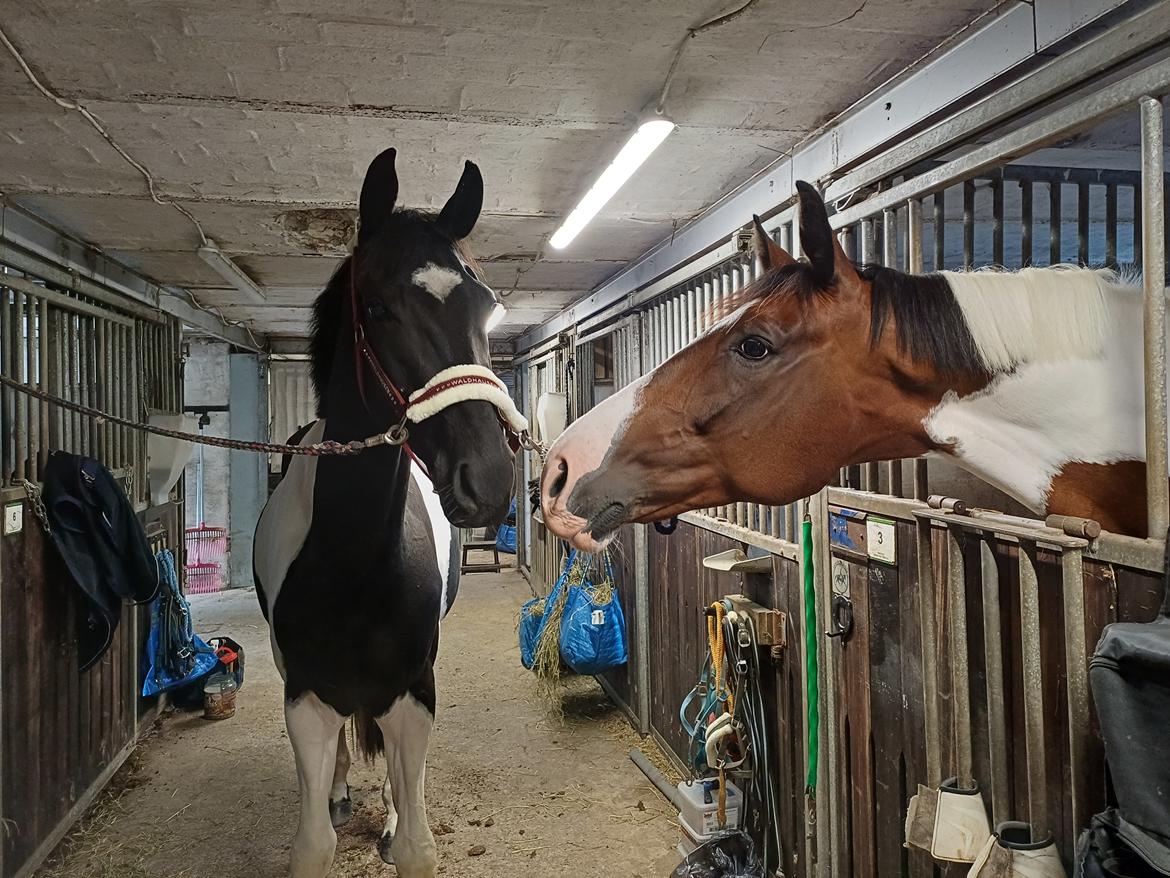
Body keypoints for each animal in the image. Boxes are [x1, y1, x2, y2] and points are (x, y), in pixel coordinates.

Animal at [253, 149, 524, 878]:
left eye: (487, 308)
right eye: (377, 306)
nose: (490, 478)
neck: (354, 562)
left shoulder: (412, 695)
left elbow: (416, 845)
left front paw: (399, 820)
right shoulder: (304, 699)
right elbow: (312, 843)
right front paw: (333, 800)